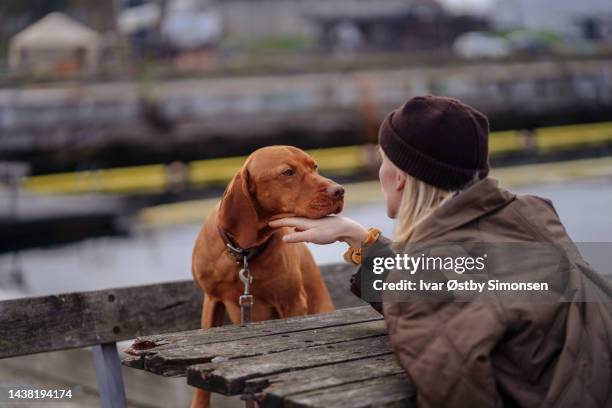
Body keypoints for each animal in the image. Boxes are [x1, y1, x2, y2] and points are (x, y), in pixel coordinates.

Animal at [190, 145, 342, 406]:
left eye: (315, 167)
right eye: (288, 172)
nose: (339, 191)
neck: (243, 254)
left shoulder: (292, 303)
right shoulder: (211, 300)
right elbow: (203, 384)